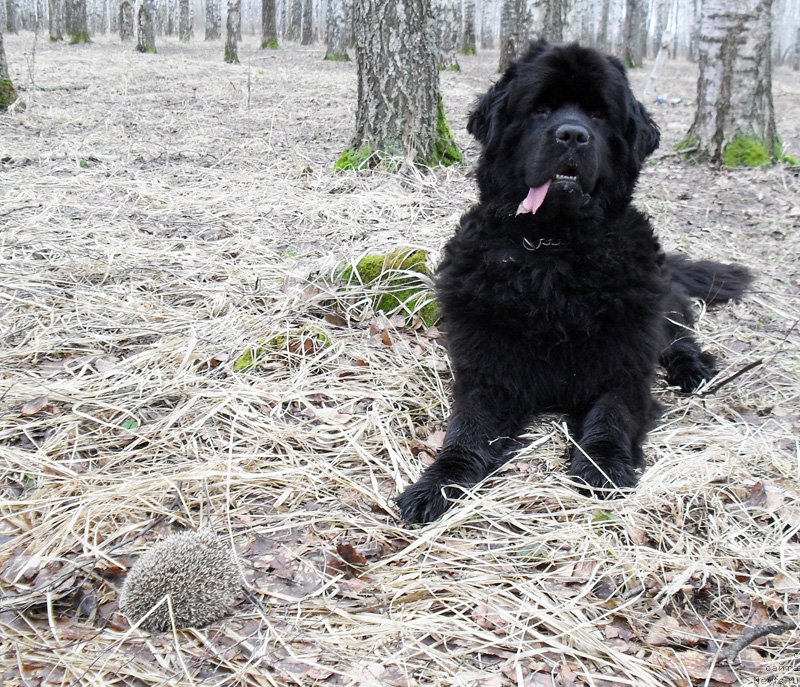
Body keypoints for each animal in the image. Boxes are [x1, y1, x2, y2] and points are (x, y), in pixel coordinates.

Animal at [396, 41, 752, 528]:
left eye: (599, 115)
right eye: (541, 109)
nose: (572, 135)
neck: (554, 248)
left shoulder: (623, 367)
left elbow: (610, 415)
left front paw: (602, 466)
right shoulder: (489, 373)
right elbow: (467, 431)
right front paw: (437, 484)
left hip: (662, 305)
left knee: (681, 340)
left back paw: (692, 370)